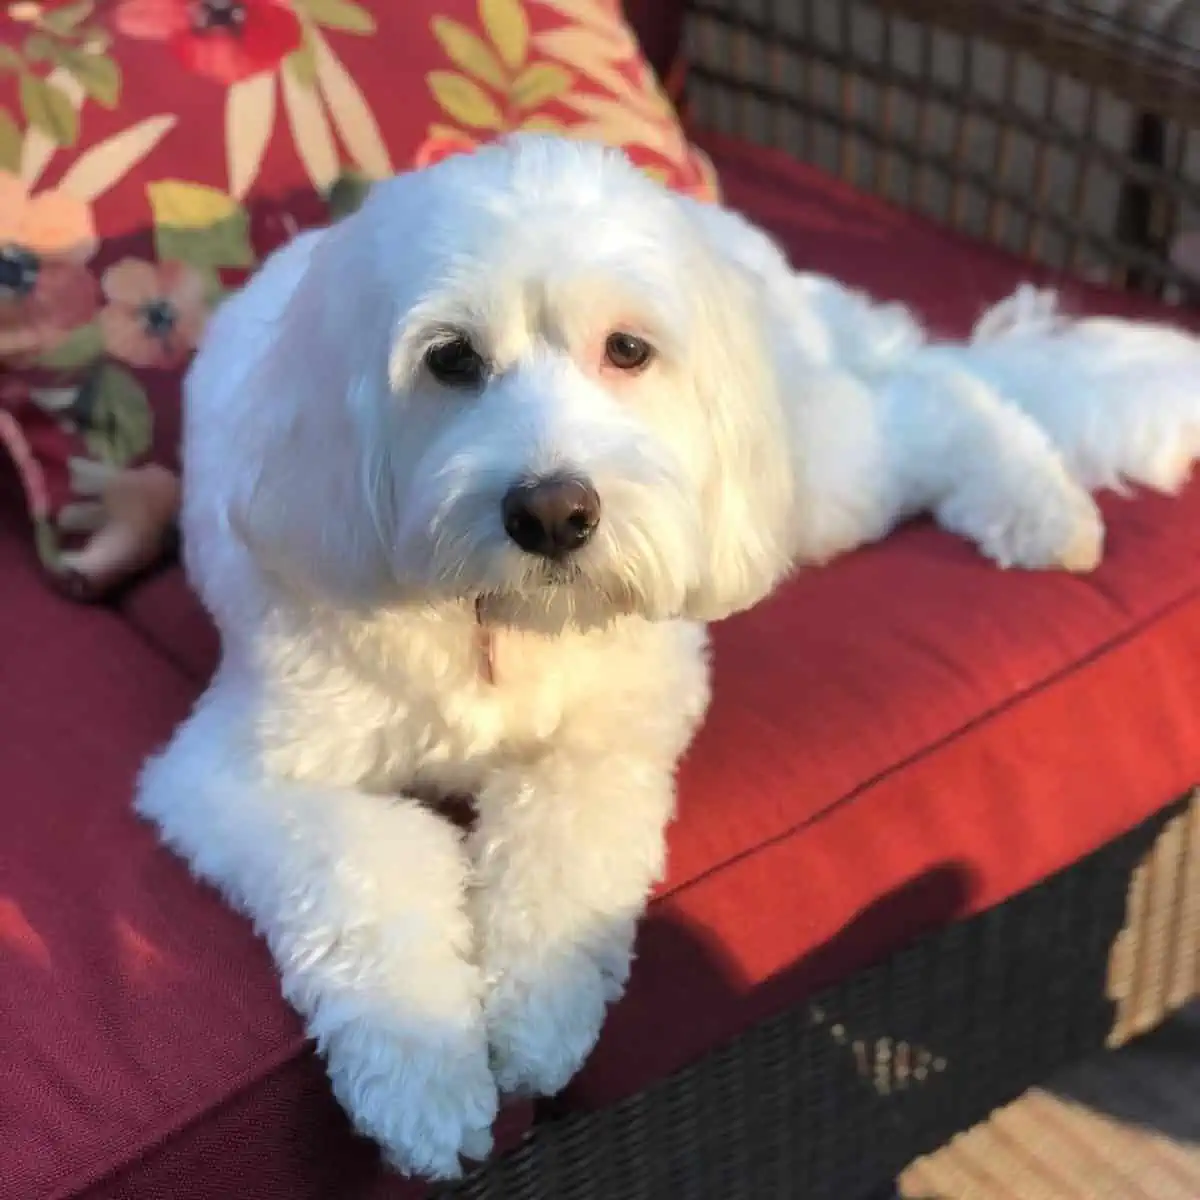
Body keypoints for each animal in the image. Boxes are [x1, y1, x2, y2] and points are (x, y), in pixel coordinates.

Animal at [136, 133, 1200, 1180]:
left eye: (629, 349)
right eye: (449, 358)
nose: (553, 514)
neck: (503, 621)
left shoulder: (624, 714)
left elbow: (567, 843)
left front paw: (535, 1019)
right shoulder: (238, 773)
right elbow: (367, 860)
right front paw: (423, 1080)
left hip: (812, 481)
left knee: (933, 395)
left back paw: (1040, 506)